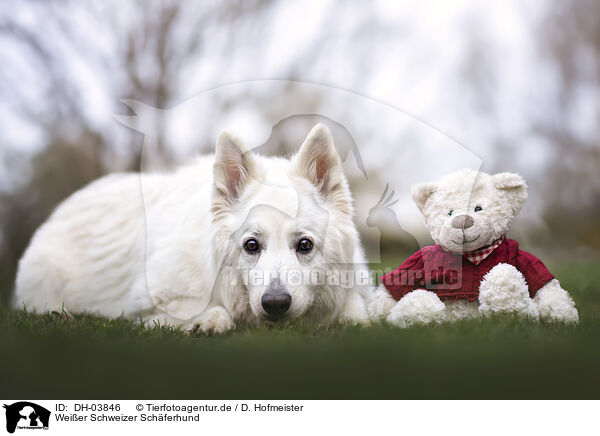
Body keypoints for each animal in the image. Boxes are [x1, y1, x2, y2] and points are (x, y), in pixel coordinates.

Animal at [12, 124, 370, 332]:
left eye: (305, 245)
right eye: (251, 245)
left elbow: (356, 311)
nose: (276, 303)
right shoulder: (149, 301)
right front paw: (209, 320)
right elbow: (203, 311)